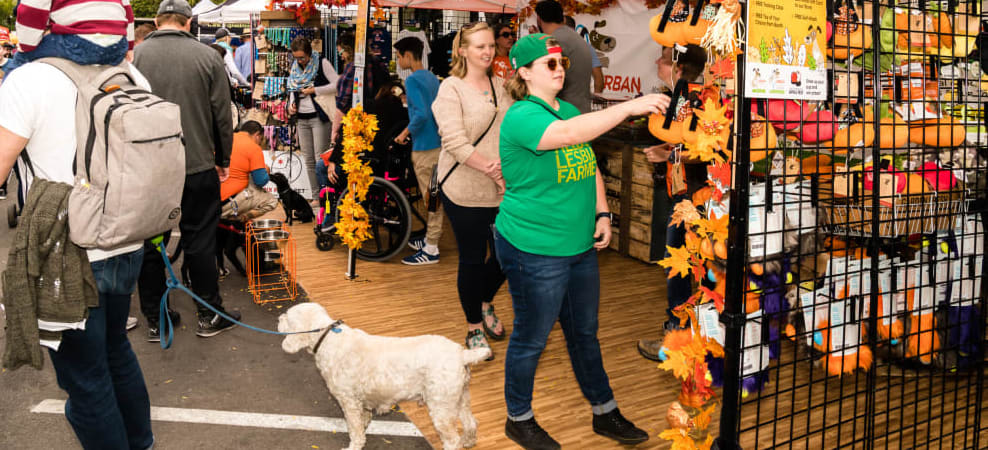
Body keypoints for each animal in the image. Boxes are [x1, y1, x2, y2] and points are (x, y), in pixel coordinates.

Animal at [276, 302, 492, 450]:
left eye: (287, 316)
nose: (278, 318)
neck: (327, 339)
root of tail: (461, 354)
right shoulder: (360, 402)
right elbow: (362, 422)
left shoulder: (348, 401)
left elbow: (355, 430)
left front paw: (354, 445)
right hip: (460, 399)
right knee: (471, 423)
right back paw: (468, 441)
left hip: (441, 407)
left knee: (452, 440)